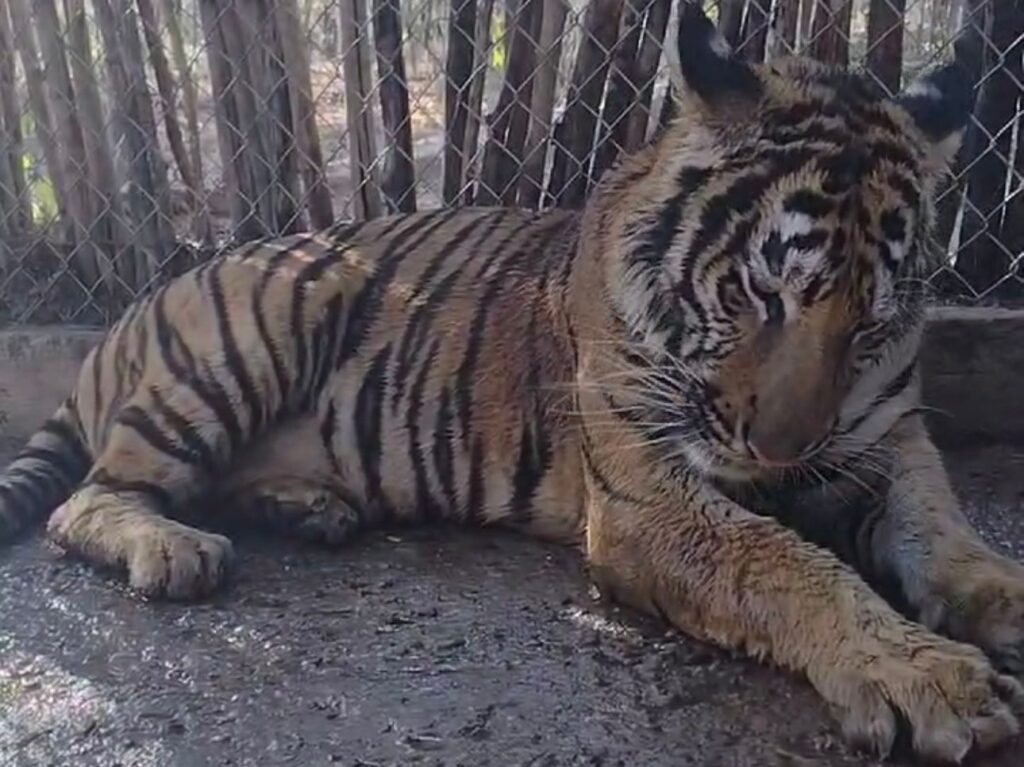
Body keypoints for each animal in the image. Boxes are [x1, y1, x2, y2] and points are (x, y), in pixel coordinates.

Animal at [2, 4, 1024, 761]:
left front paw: (999, 598)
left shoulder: (886, 441)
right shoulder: (646, 498)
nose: (781, 456)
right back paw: (176, 549)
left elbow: (945, 534)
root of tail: (137, 303)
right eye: (760, 292)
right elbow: (790, 564)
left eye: (871, 319)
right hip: (266, 321)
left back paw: (309, 507)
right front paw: (929, 675)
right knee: (89, 497)